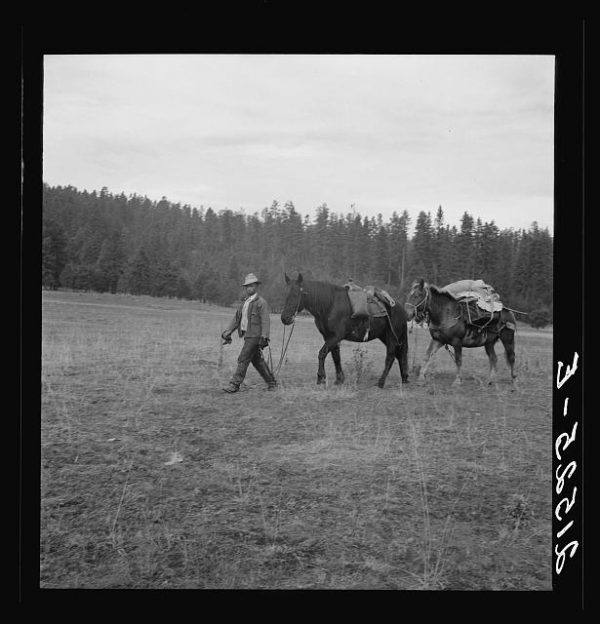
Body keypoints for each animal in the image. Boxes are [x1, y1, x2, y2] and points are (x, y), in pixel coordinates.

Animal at [280, 272, 410, 386]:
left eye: (296, 294)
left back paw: (381, 382)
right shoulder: (329, 337)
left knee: (391, 356)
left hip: (392, 336)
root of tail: (400, 308)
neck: (330, 305)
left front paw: (321, 378)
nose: (285, 318)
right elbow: (336, 356)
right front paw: (339, 379)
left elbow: (322, 353)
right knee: (399, 355)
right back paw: (404, 378)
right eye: (286, 294)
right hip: (385, 336)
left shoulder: (336, 336)